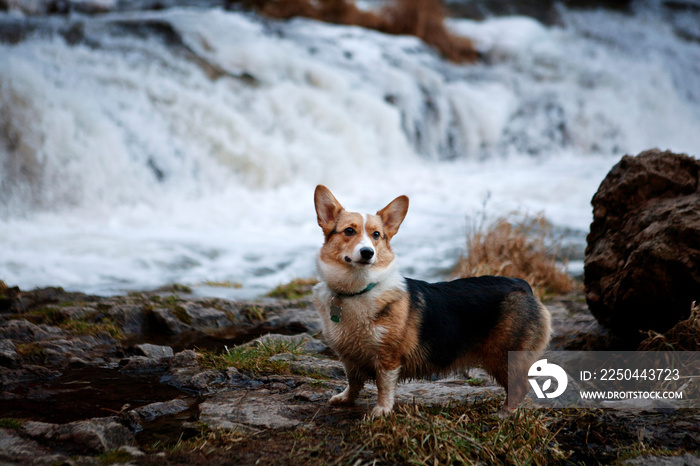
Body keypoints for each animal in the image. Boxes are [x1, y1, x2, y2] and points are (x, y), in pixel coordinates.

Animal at [314, 184, 552, 416]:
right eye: (349, 231)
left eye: (376, 235)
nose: (367, 253)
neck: (359, 289)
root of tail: (522, 284)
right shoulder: (348, 356)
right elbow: (353, 381)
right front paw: (345, 399)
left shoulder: (388, 357)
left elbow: (384, 386)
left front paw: (381, 410)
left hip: (502, 356)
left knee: (519, 386)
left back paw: (504, 414)